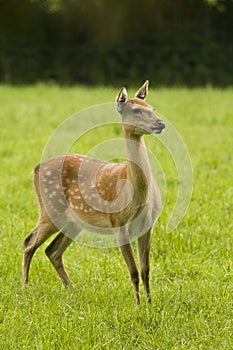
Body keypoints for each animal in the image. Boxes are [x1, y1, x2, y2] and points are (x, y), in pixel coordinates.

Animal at [22, 80, 165, 304]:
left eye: (152, 108)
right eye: (136, 110)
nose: (161, 123)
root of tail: (36, 168)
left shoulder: (148, 224)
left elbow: (145, 270)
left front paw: (150, 303)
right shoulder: (118, 222)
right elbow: (133, 270)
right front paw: (137, 305)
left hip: (73, 221)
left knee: (52, 250)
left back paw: (72, 290)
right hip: (50, 210)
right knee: (28, 242)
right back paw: (24, 287)